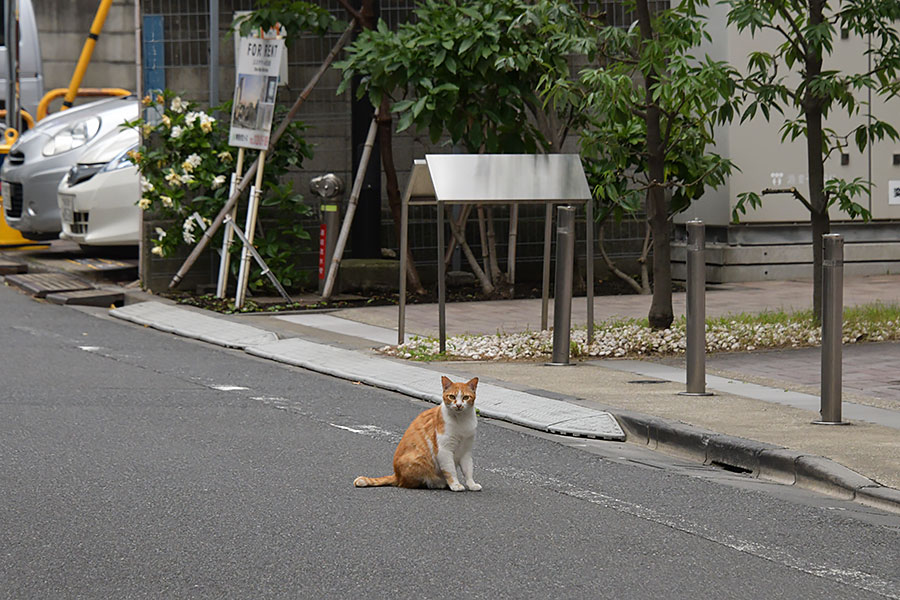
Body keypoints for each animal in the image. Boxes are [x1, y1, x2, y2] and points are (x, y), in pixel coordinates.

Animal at [352, 376, 482, 492]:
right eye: (452, 396)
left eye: (466, 397)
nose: (459, 405)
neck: (461, 421)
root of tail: (397, 475)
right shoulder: (444, 450)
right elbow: (451, 470)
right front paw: (455, 485)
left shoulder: (466, 451)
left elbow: (468, 470)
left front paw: (472, 484)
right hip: (419, 459)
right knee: (407, 483)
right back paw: (437, 483)